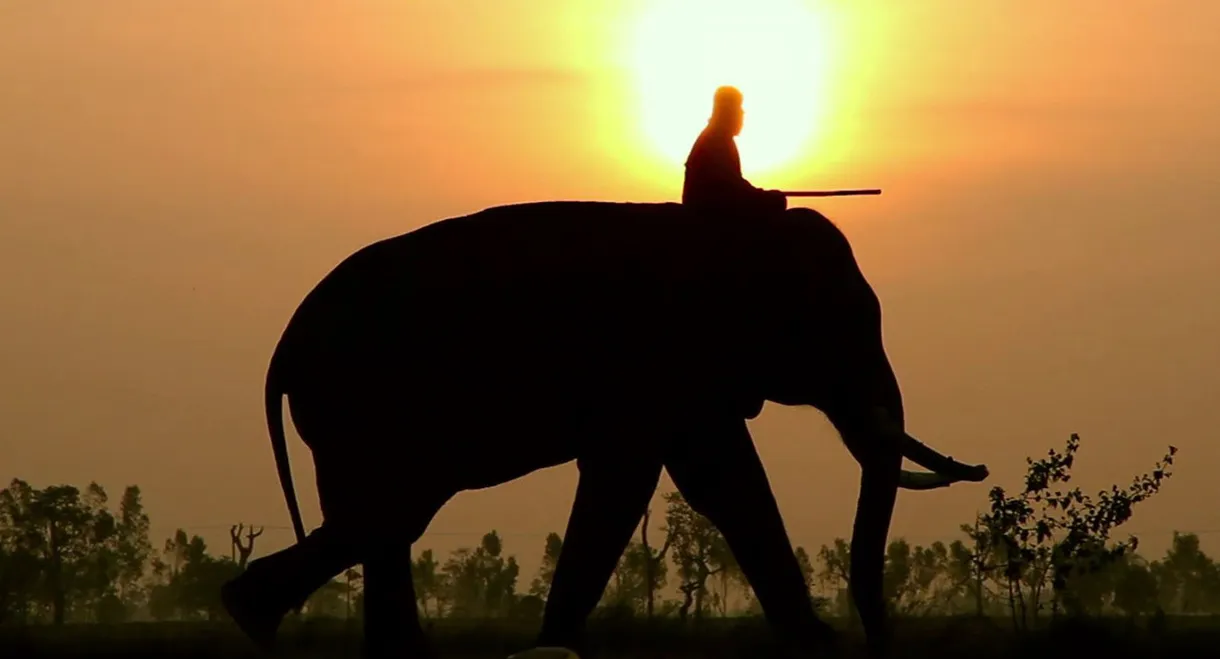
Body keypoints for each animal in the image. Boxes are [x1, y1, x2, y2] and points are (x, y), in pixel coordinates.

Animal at [219, 201, 989, 659]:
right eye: (839, 326)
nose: (877, 643)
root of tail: (285, 345)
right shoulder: (653, 361)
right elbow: (655, 479)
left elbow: (716, 480)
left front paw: (814, 645)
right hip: (363, 402)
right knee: (385, 516)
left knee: (383, 521)